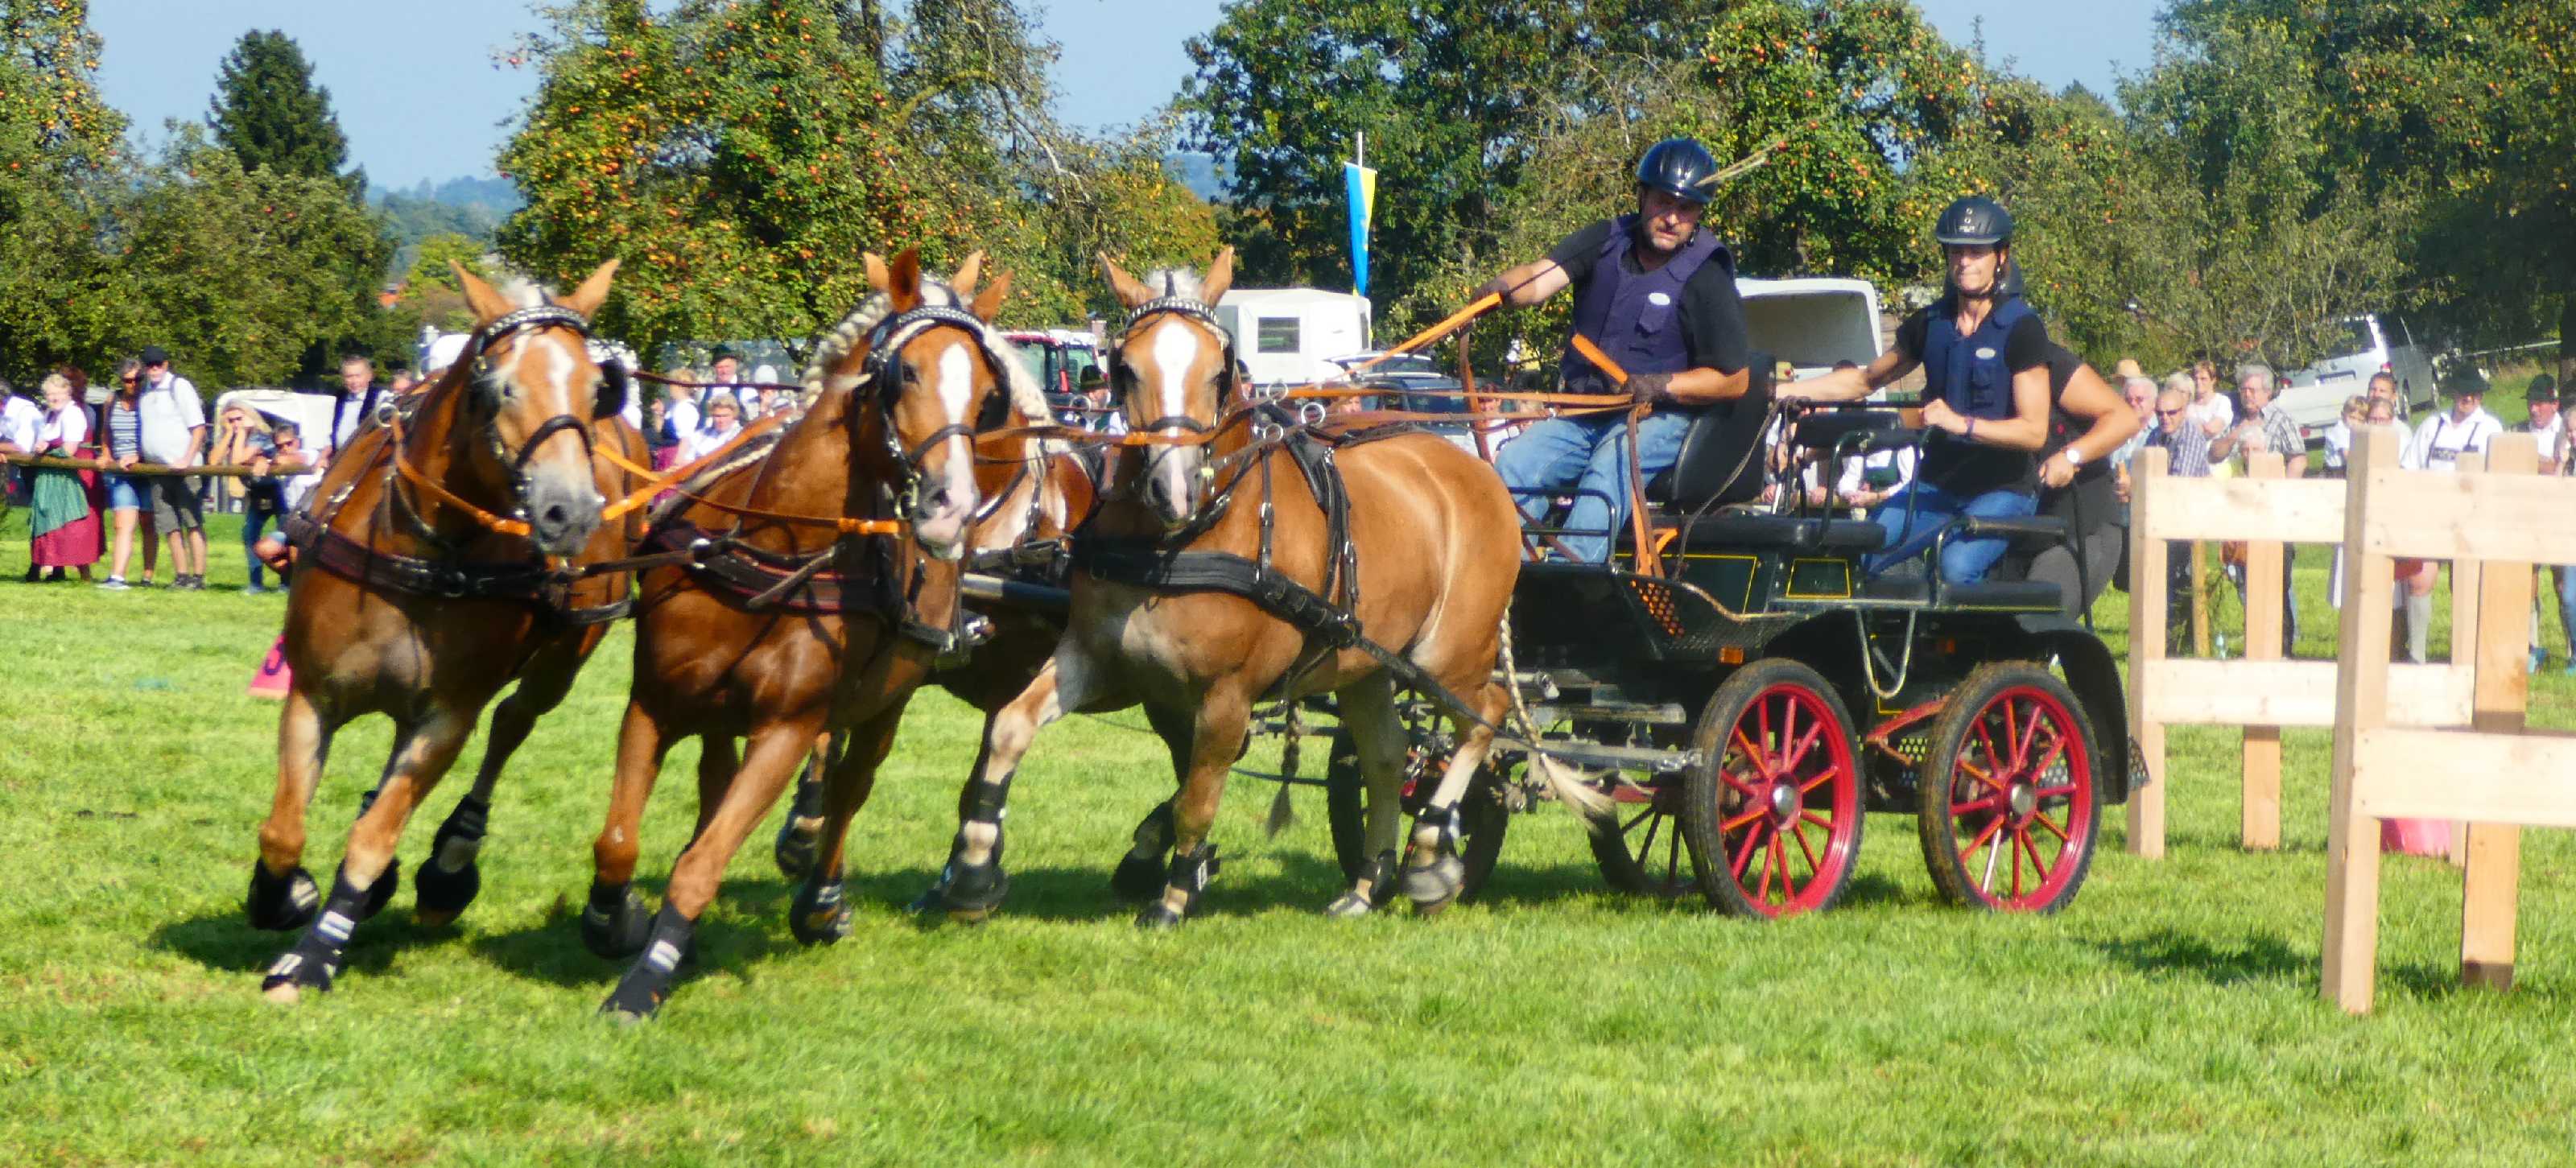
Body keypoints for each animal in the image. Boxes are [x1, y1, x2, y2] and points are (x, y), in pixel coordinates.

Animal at [256, 261, 645, 1003]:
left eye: (598, 387)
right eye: (497, 387)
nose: (572, 513)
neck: (422, 547)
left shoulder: (446, 717)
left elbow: (373, 837)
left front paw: (314, 954)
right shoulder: (312, 694)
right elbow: (284, 829)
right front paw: (284, 894)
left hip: (567, 652)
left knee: (514, 720)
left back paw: (451, 861)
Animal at [584, 249, 1045, 1018]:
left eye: (987, 395)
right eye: (904, 372)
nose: (951, 509)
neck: (778, 545)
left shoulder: (787, 727)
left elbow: (703, 863)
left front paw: (645, 978)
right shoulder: (652, 701)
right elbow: (618, 840)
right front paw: (612, 918)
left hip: (892, 694)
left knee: (852, 784)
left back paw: (822, 899)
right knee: (718, 779)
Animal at [924, 249, 1597, 927]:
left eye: (1219, 370)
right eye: (1124, 367)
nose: (1173, 485)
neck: (1182, 538)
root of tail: (1478, 471)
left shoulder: (1228, 693)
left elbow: (1198, 795)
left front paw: (1173, 893)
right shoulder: (1093, 658)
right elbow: (1009, 730)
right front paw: (972, 869)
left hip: (1447, 654)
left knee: (1483, 718)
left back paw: (1432, 853)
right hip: (1364, 660)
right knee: (1386, 753)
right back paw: (1367, 883)